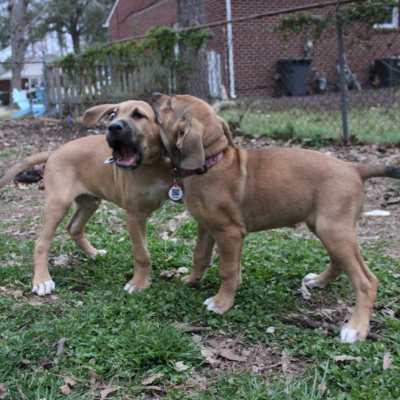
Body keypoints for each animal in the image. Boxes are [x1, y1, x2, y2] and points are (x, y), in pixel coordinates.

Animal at [0, 101, 172, 296]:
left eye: (138, 115)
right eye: (112, 115)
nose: (113, 127)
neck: (152, 165)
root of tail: (54, 152)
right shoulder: (134, 215)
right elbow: (141, 253)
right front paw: (139, 283)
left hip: (89, 201)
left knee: (74, 227)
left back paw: (93, 253)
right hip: (58, 204)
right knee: (41, 243)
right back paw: (42, 280)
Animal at [153, 92, 400, 342]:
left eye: (169, 105)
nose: (155, 95)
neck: (211, 162)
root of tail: (354, 168)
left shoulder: (229, 233)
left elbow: (227, 271)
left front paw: (222, 303)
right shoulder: (206, 227)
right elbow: (200, 256)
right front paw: (191, 281)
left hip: (333, 230)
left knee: (366, 281)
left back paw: (356, 328)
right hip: (325, 228)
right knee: (340, 262)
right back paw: (318, 281)